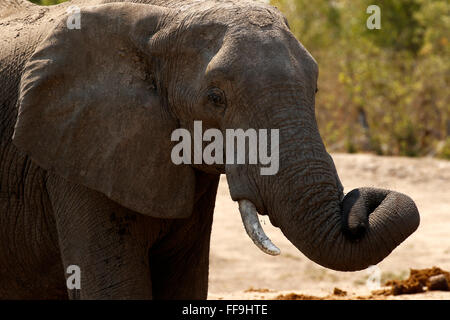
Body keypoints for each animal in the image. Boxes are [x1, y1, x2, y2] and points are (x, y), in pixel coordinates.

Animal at [0, 0, 418, 300]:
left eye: (314, 88)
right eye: (215, 98)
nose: (359, 208)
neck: (162, 18)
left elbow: (184, 284)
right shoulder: (80, 152)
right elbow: (115, 289)